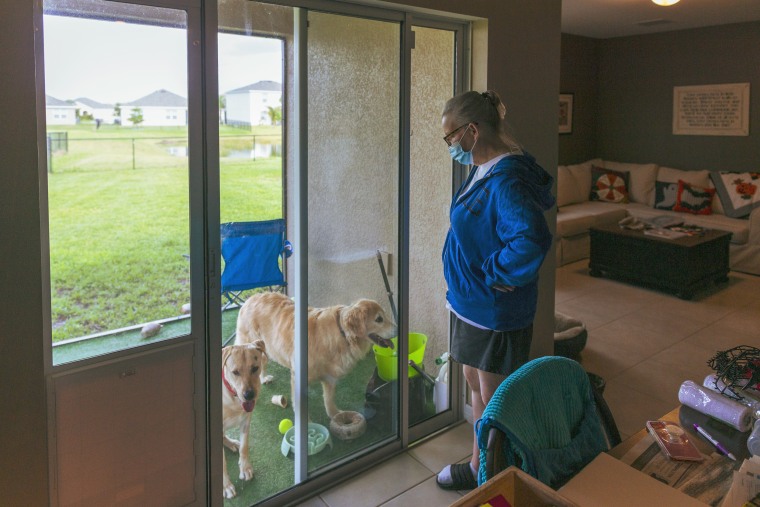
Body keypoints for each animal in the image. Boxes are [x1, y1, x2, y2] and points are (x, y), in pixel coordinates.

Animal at [220, 342, 268, 500]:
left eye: (255, 368)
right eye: (235, 372)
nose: (249, 395)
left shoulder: (246, 421)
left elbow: (244, 447)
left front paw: (245, 468)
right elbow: (221, 462)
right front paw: (226, 486)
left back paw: (232, 443)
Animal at [235, 292, 394, 418]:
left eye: (385, 315)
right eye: (379, 319)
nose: (397, 329)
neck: (341, 334)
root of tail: (251, 297)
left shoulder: (330, 377)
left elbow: (329, 398)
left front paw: (335, 414)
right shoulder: (298, 378)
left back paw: (263, 379)